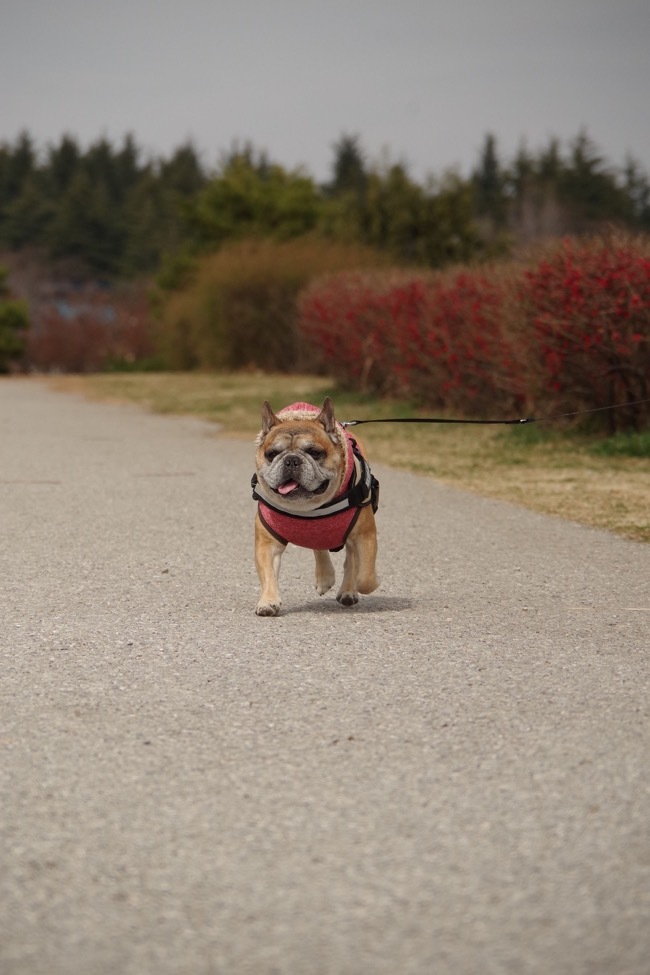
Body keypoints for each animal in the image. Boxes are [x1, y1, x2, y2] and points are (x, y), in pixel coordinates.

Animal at [251, 398, 378, 616]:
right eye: (271, 454)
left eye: (315, 452)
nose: (291, 460)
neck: (308, 509)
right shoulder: (267, 545)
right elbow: (268, 574)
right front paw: (268, 601)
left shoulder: (364, 536)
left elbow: (365, 578)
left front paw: (367, 583)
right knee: (319, 547)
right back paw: (325, 577)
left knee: (352, 561)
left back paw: (347, 591)